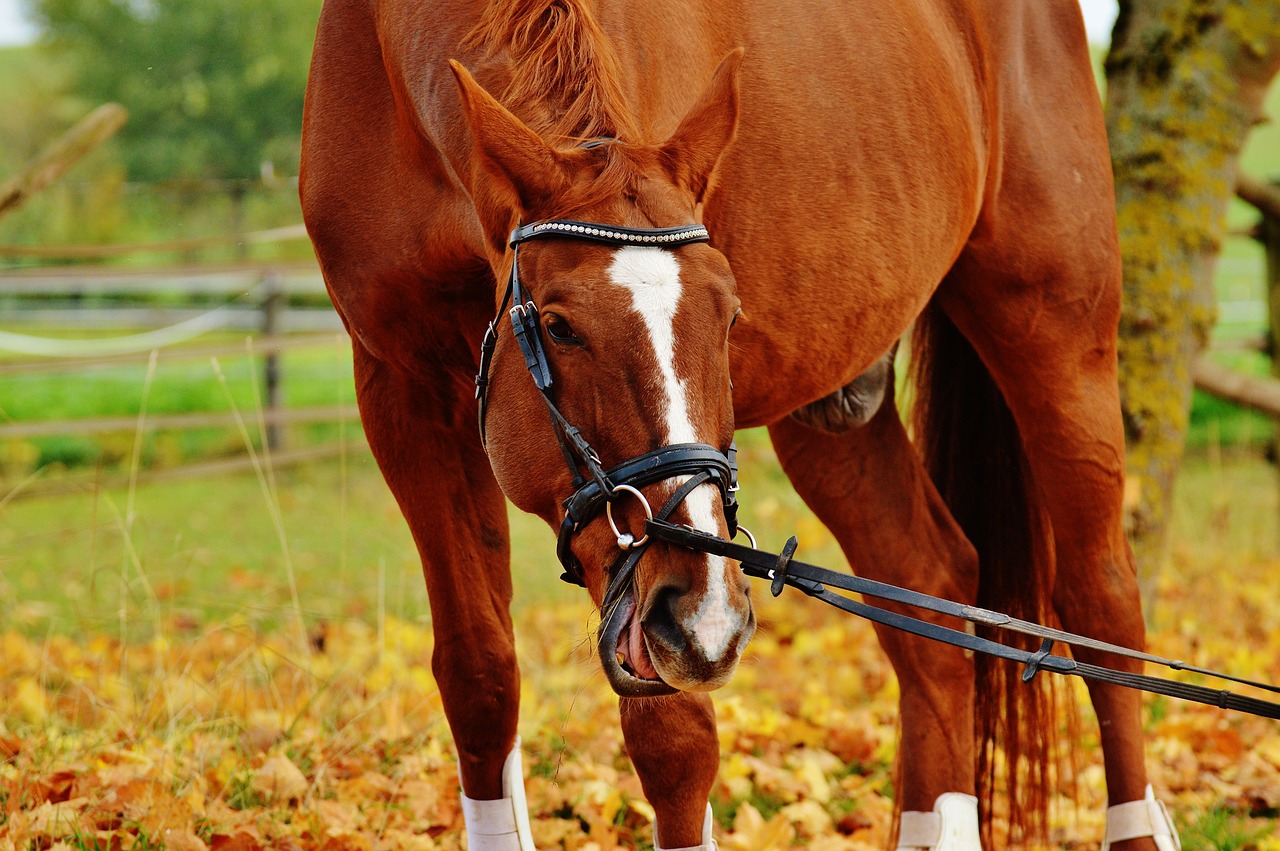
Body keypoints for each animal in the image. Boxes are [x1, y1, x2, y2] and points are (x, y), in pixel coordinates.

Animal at [299, 1, 1177, 849]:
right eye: (558, 327)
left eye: (728, 316)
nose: (704, 614)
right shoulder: (402, 390)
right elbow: (480, 676)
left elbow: (674, 736)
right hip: (827, 416)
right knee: (932, 591)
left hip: (1055, 330)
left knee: (1101, 603)